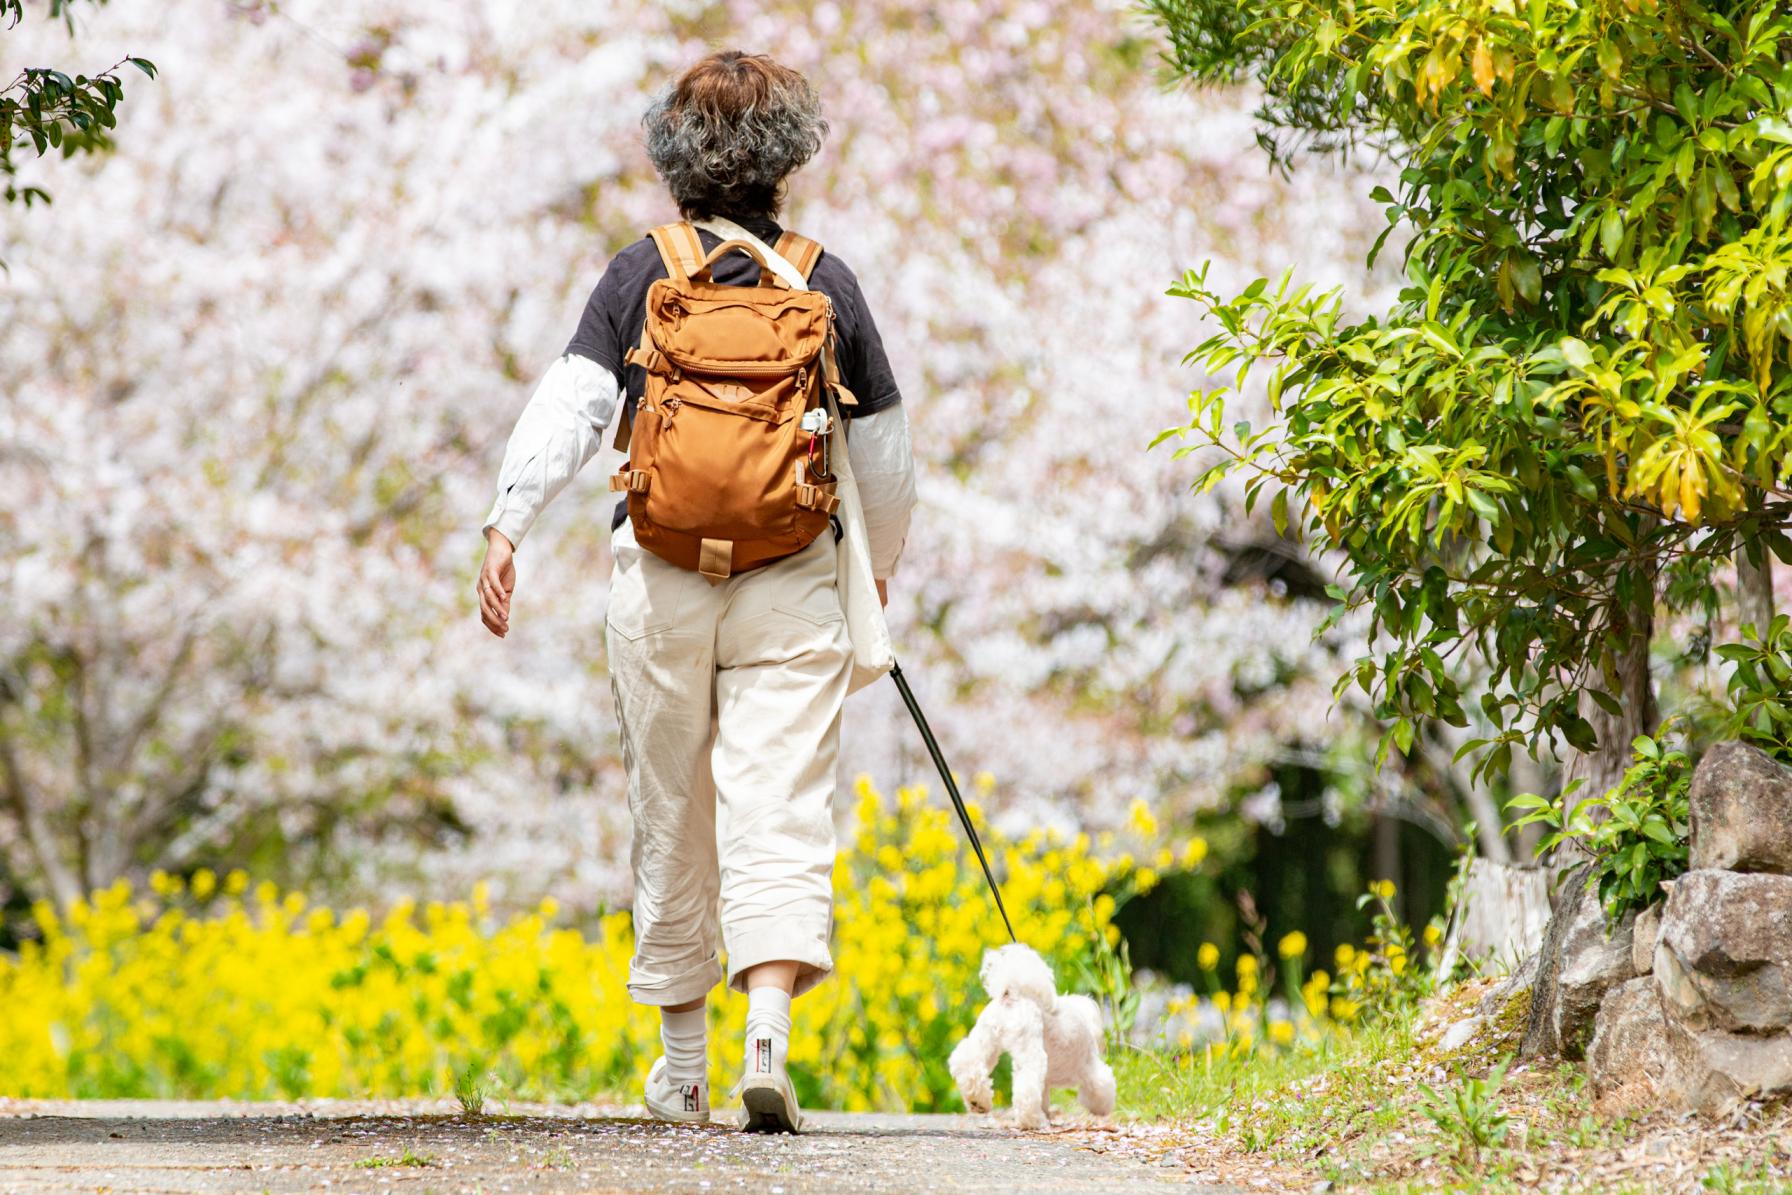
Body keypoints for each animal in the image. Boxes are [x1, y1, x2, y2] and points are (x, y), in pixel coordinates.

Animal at [946, 945, 1111, 1132]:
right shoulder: (1090, 1068)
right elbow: (1102, 1086)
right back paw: (1033, 1121)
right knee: (1027, 1088)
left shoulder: (1047, 1081)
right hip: (1031, 1051)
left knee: (967, 1062)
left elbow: (1044, 1096)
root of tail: (1011, 994)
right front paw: (1101, 1108)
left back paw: (977, 1101)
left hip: (986, 1038)